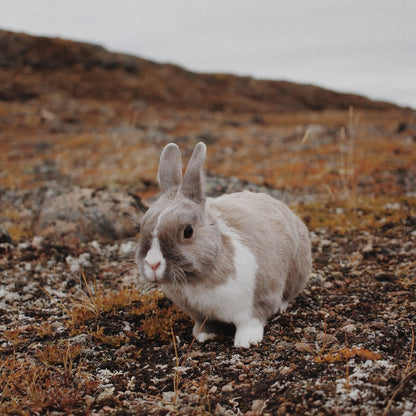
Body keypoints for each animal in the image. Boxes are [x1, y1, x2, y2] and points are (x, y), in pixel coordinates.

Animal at [136, 143, 312, 348]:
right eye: (142, 225)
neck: (200, 279)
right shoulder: (202, 314)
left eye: (188, 231)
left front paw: (246, 341)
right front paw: (202, 335)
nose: (153, 264)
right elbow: (206, 324)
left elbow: (252, 321)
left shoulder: (257, 301)